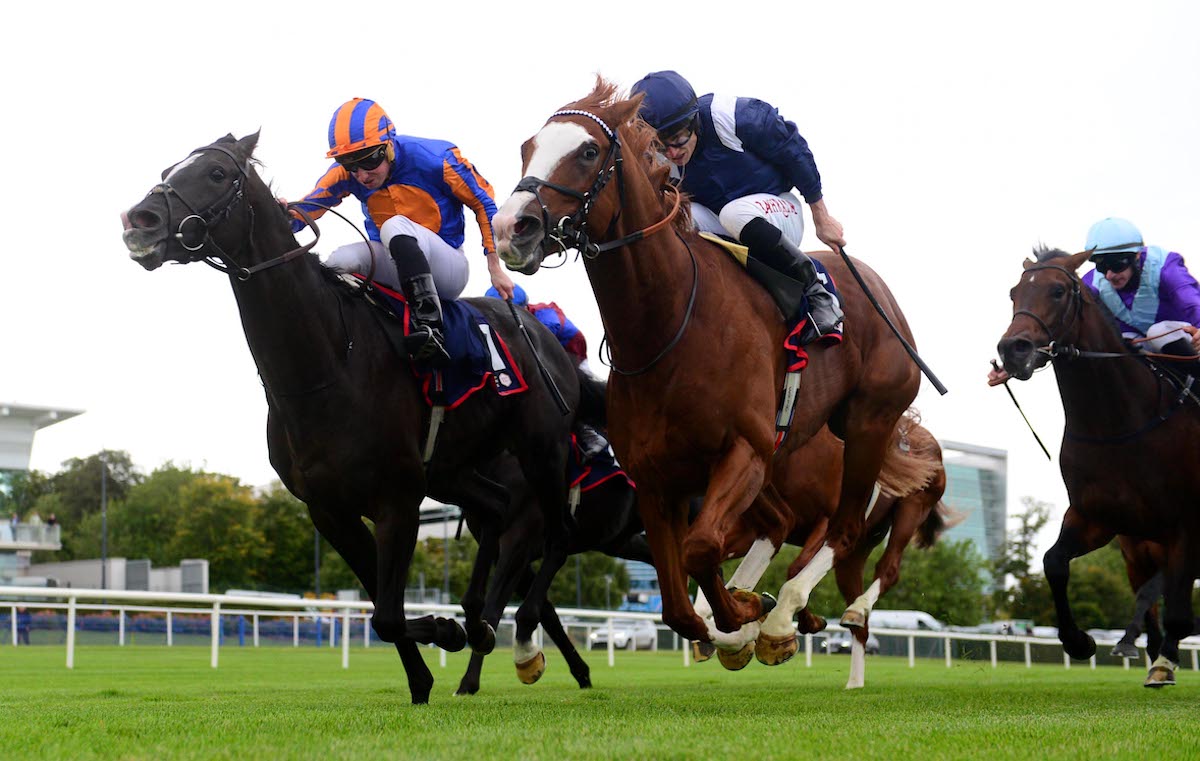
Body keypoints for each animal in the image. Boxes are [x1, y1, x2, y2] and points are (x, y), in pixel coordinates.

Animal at [123, 129, 585, 700]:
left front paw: (445, 632)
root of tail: (541, 331)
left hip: (542, 449)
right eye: (170, 169)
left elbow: (387, 614)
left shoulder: (398, 500)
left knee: (558, 534)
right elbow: (382, 611)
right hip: (451, 469)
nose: (140, 220)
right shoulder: (329, 509)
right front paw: (427, 671)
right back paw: (477, 619)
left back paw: (519, 641)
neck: (326, 368)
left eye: (216, 173)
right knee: (497, 507)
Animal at [489, 76, 916, 657]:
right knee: (780, 524)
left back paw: (783, 616)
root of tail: (879, 290)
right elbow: (676, 603)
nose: (512, 226)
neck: (670, 326)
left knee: (844, 529)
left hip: (869, 423)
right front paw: (732, 621)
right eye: (527, 148)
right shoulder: (656, 479)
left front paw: (747, 617)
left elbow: (700, 548)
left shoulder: (745, 451)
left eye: (588, 152)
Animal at [993, 246, 1200, 686]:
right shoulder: (1097, 517)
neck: (1121, 423)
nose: (1013, 348)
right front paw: (1079, 641)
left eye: (1057, 291)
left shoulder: (1187, 524)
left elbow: (1178, 610)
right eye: (1014, 292)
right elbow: (1053, 562)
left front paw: (1164, 662)